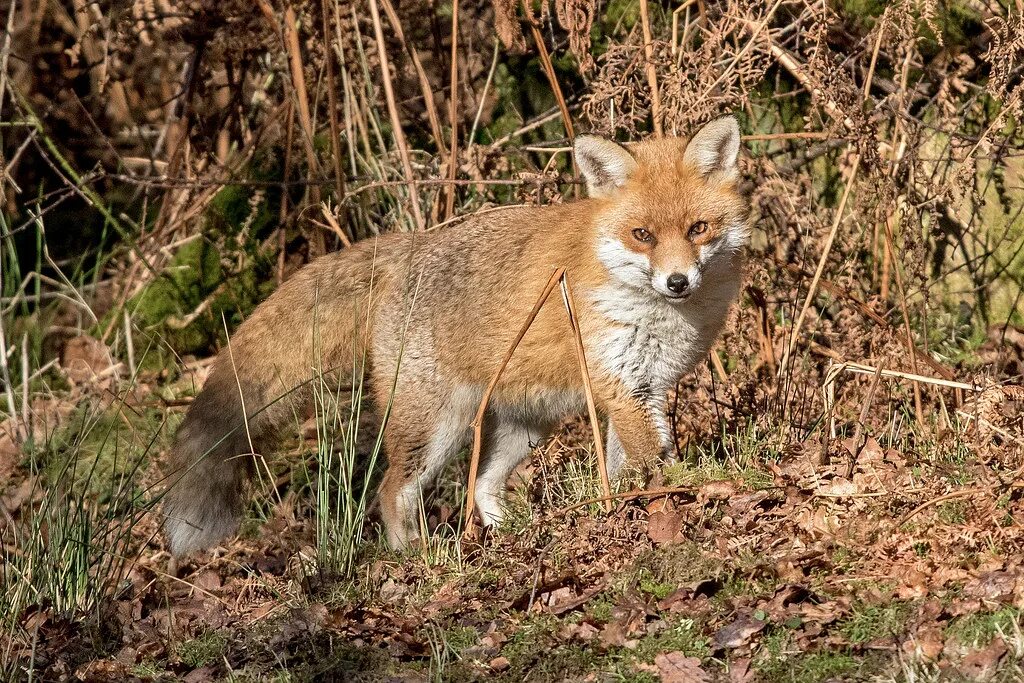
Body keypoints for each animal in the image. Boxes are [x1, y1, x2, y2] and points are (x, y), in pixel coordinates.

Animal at [161, 116, 753, 557]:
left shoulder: (641, 389)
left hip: (522, 426)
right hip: (436, 429)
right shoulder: (620, 384)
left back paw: (510, 536)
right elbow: (653, 461)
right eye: (642, 235)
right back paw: (414, 557)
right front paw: (672, 499)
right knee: (391, 491)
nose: (677, 282)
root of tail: (411, 244)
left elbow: (627, 464)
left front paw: (631, 508)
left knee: (480, 484)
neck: (658, 315)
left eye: (698, 229)